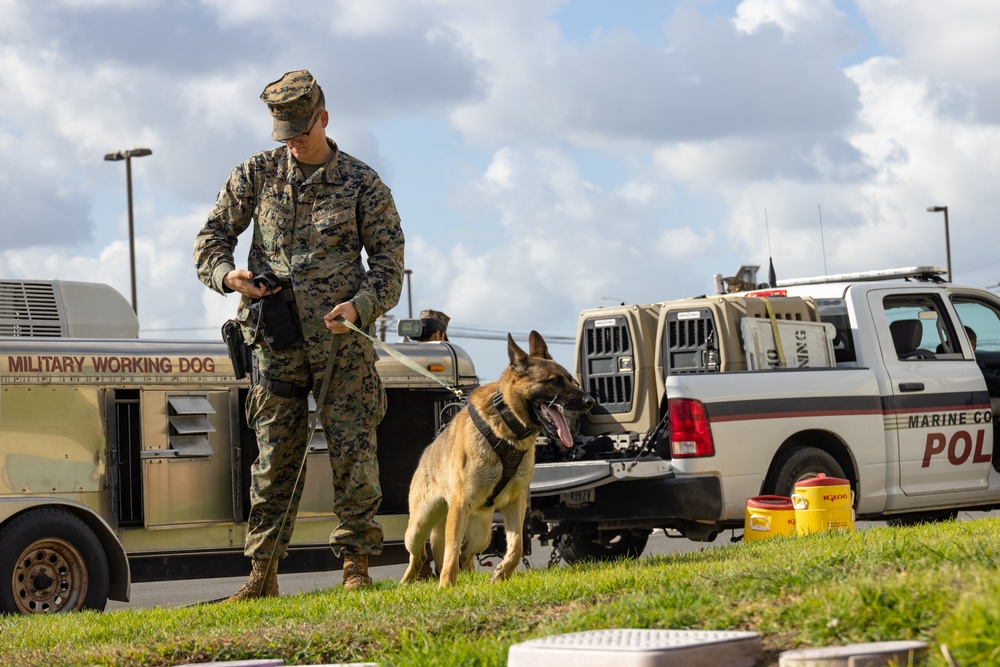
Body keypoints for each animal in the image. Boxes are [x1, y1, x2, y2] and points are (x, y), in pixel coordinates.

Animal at [402, 332, 596, 588]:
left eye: (570, 380)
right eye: (554, 381)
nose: (590, 401)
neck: (508, 427)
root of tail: (426, 453)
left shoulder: (515, 503)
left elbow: (516, 547)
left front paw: (502, 573)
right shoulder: (459, 505)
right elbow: (450, 552)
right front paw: (446, 586)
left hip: (481, 534)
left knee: (466, 551)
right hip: (418, 527)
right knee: (421, 555)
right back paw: (406, 582)